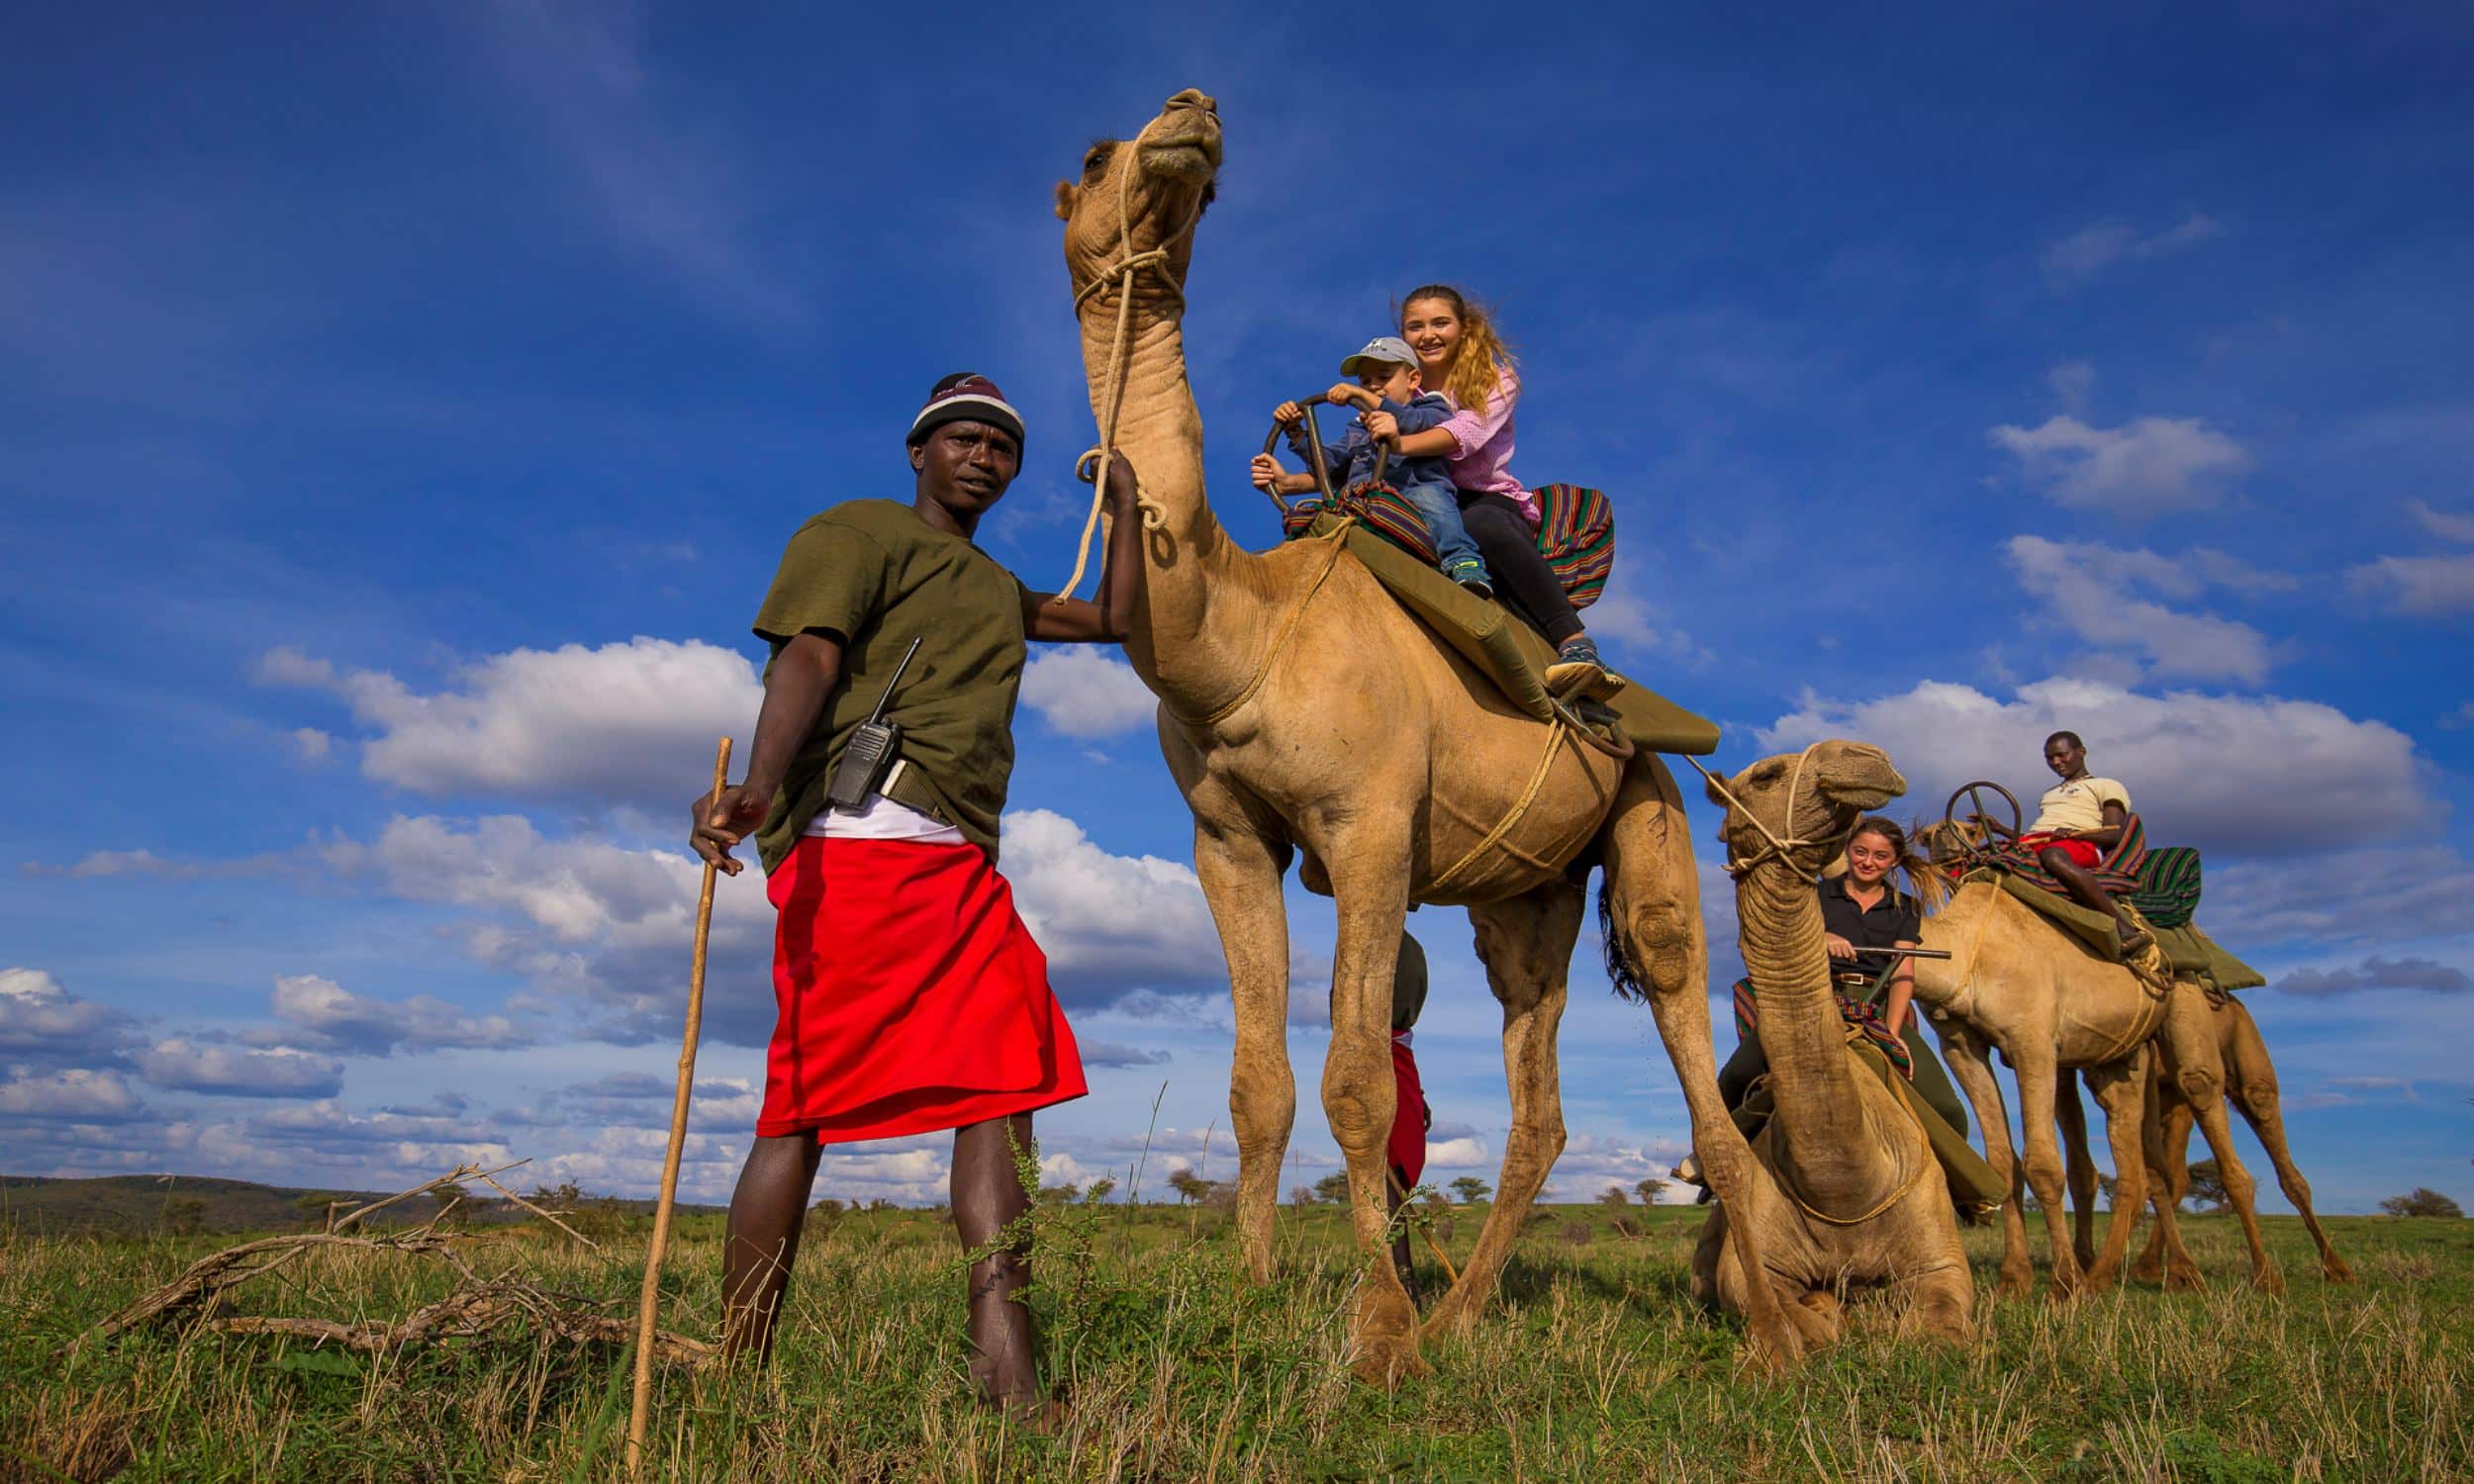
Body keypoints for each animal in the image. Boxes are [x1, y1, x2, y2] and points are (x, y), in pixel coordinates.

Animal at [1054, 89, 1811, 1375]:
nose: (1193, 114)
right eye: (1098, 155)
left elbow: (1359, 1082)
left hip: (1651, 813)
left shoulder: (1366, 826)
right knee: (1537, 1101)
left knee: (1695, 1058)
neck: (1243, 633)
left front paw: (1380, 1339)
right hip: (1525, 899)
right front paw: (1255, 1297)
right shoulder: (1227, 840)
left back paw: (1773, 1335)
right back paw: (1466, 1315)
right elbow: (1259, 1085)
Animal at [1682, 742, 1969, 1345]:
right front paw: (1828, 1312)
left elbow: (1937, 1330)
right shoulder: (1750, 1268)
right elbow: (1791, 1313)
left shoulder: (1943, 1262)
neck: (1847, 1188)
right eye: (1766, 774)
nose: (1866, 758)